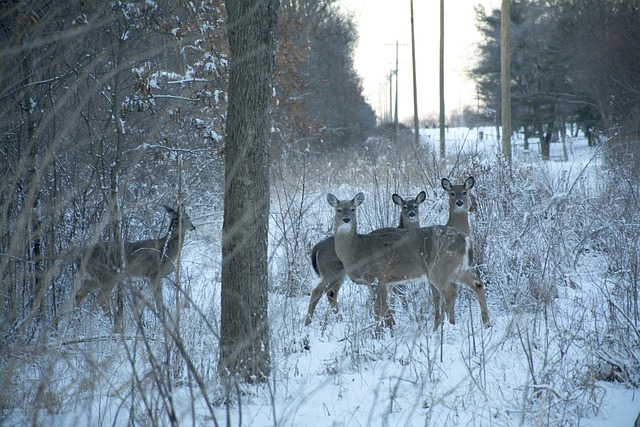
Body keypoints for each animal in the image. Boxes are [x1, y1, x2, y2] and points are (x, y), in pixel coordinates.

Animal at [304, 191, 426, 325]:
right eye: (404, 207)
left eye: (416, 206)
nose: (412, 214)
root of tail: (317, 247)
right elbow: (398, 294)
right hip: (331, 272)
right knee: (318, 291)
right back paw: (308, 323)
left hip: (338, 274)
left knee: (331, 293)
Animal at [327, 192, 490, 331]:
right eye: (339, 210)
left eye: (353, 209)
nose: (346, 219)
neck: (357, 250)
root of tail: (466, 239)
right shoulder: (379, 283)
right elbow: (383, 308)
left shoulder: (377, 278)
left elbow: (378, 309)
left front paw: (378, 334)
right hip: (458, 269)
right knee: (477, 283)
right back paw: (486, 323)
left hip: (439, 267)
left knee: (451, 294)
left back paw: (437, 329)